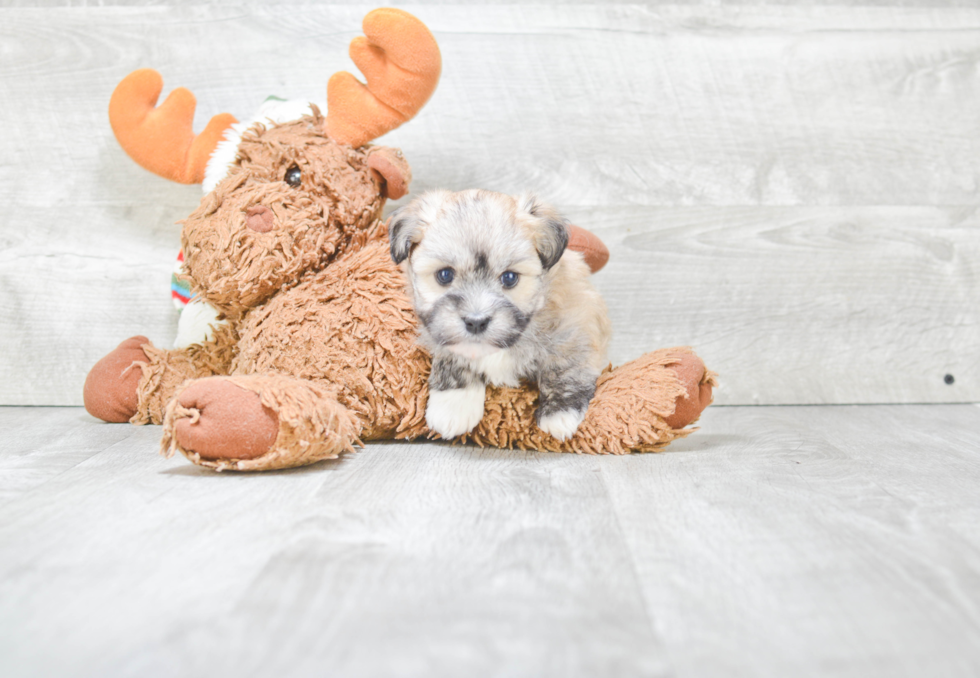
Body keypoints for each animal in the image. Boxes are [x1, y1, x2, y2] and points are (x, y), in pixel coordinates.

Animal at [386, 189, 608, 444]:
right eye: (444, 275)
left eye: (509, 278)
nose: (476, 322)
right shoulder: (440, 329)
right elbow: (453, 356)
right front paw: (453, 404)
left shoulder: (577, 322)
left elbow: (566, 365)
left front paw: (560, 412)